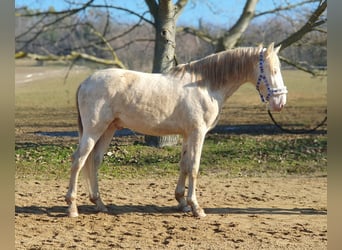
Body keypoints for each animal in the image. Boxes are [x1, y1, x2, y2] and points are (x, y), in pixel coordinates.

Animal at [65, 42, 288, 217]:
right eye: (273, 70)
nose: (280, 103)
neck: (205, 85)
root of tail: (85, 82)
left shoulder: (188, 134)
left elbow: (184, 165)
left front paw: (182, 202)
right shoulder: (198, 133)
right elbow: (194, 167)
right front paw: (196, 208)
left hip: (108, 129)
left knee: (94, 161)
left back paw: (100, 204)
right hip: (94, 129)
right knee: (79, 160)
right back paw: (72, 207)